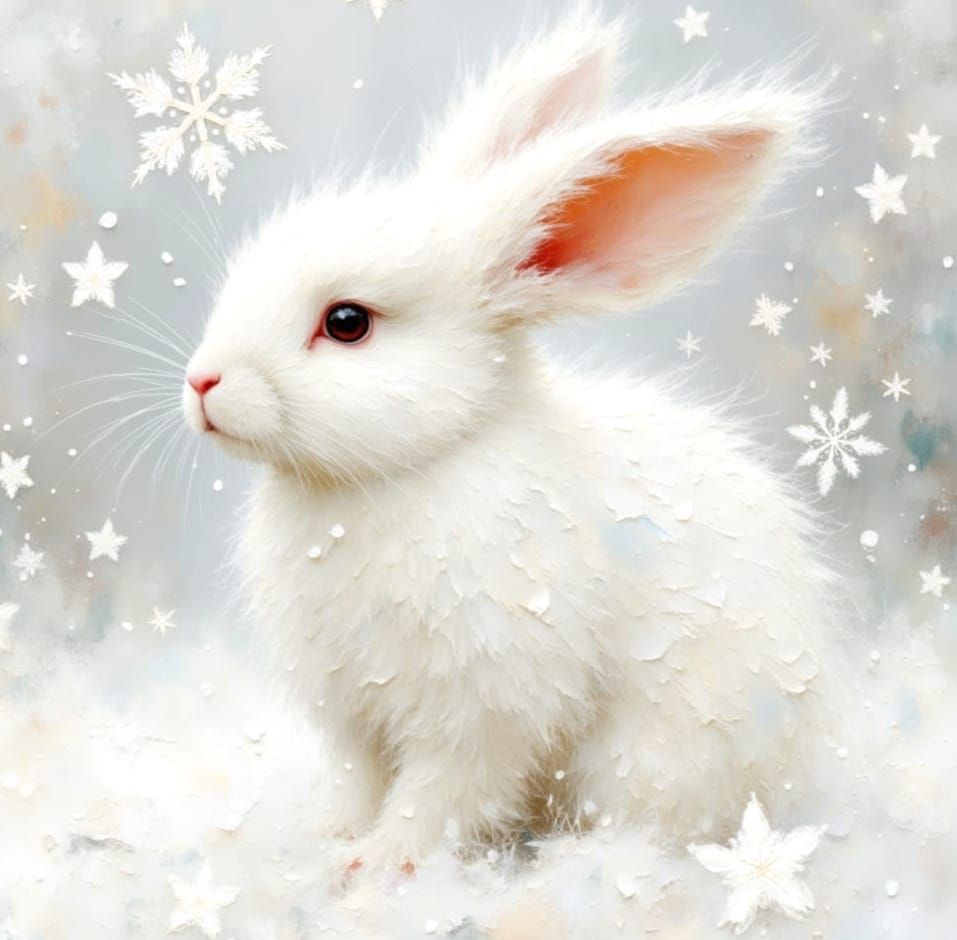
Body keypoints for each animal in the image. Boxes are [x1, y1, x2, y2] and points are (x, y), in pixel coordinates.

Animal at [182, 7, 840, 870]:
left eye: (347, 322)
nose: (202, 383)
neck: (403, 471)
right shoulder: (355, 719)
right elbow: (360, 782)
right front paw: (331, 841)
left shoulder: (485, 705)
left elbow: (440, 793)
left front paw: (378, 864)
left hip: (655, 754)